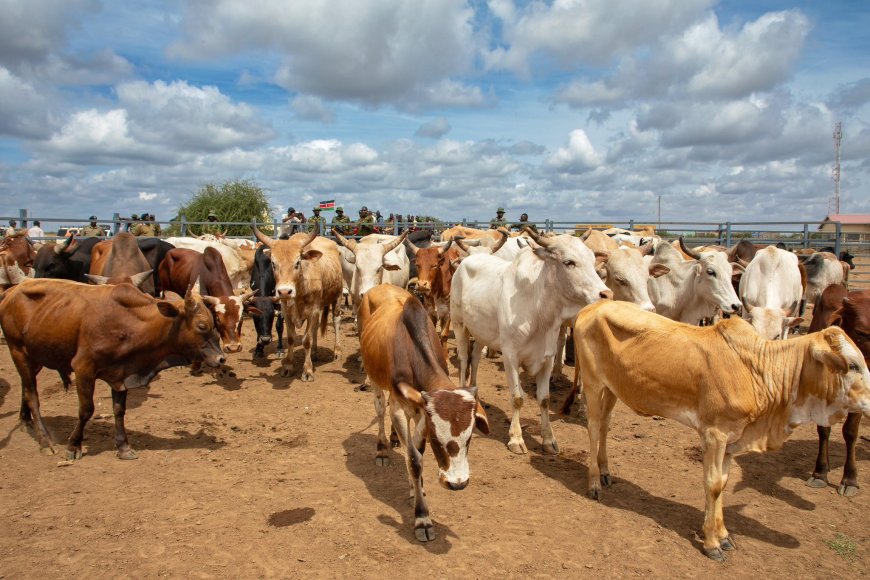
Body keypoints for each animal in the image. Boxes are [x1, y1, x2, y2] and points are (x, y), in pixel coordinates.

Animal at [0, 278, 225, 460]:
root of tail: (12, 290)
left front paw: (123, 446)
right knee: (32, 395)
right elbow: (86, 410)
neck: (131, 322)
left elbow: (119, 410)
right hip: (17, 351)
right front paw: (73, 446)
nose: (221, 358)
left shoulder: (121, 373)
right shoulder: (83, 368)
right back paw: (45, 440)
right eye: (202, 325)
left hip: (34, 356)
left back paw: (25, 420)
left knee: (26, 388)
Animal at [250, 223, 342, 380]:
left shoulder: (313, 310)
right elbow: (291, 338)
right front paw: (288, 366)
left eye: (298, 262)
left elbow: (306, 340)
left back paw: (337, 351)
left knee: (336, 321)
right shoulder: (286, 312)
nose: (284, 291)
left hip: (338, 296)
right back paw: (315, 353)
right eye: (273, 263)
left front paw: (307, 370)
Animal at [356, 284, 490, 540]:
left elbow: (416, 455)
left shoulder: (421, 414)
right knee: (381, 409)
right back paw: (382, 449)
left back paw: (394, 439)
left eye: (469, 438)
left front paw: (415, 489)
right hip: (375, 379)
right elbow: (414, 460)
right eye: (437, 440)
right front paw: (422, 519)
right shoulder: (401, 409)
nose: (457, 483)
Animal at [450, 229, 612, 456]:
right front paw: (516, 438)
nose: (606, 294)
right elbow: (517, 397)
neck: (539, 311)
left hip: (481, 331)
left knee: (475, 358)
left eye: (591, 259)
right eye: (568, 262)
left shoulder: (548, 357)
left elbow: (544, 399)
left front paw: (549, 439)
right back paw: (464, 391)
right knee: (464, 359)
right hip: (459, 324)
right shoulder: (510, 356)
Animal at [576, 302, 870, 560]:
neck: (758, 372)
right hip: (592, 382)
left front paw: (724, 536)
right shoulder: (714, 434)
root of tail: (591, 308)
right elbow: (713, 484)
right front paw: (711, 543)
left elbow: (724, 483)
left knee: (605, 424)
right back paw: (594, 484)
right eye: (853, 365)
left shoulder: (732, 440)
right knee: (593, 426)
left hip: (613, 388)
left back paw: (605, 472)